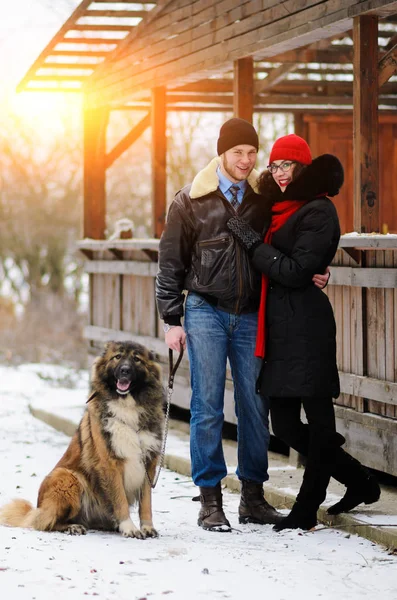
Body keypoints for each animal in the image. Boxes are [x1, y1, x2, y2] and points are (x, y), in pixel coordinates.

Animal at [0, 342, 165, 540]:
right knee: (47, 523)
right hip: (67, 477)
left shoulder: (148, 464)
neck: (127, 406)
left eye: (136, 359)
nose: (124, 370)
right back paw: (73, 526)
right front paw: (129, 527)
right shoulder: (110, 464)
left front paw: (147, 527)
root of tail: (38, 508)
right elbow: (120, 500)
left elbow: (146, 502)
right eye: (117, 357)